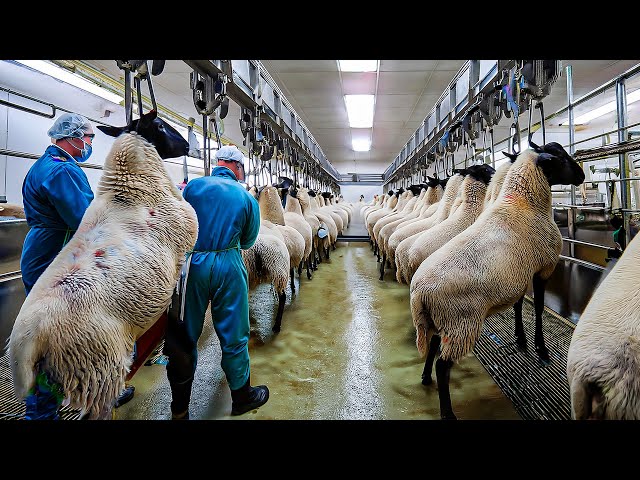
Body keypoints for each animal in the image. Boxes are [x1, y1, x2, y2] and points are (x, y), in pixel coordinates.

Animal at [7, 109, 198, 420]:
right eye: (160, 125)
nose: (187, 147)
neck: (131, 186)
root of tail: (27, 344)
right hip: (97, 368)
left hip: (52, 379)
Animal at [410, 142, 584, 420]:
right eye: (558, 157)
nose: (581, 175)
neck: (524, 203)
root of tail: (418, 294)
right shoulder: (543, 268)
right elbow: (537, 307)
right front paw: (541, 349)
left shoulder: (518, 274)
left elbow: (518, 305)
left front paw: (521, 339)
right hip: (461, 323)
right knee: (443, 365)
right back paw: (447, 412)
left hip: (441, 320)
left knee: (435, 345)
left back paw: (425, 377)